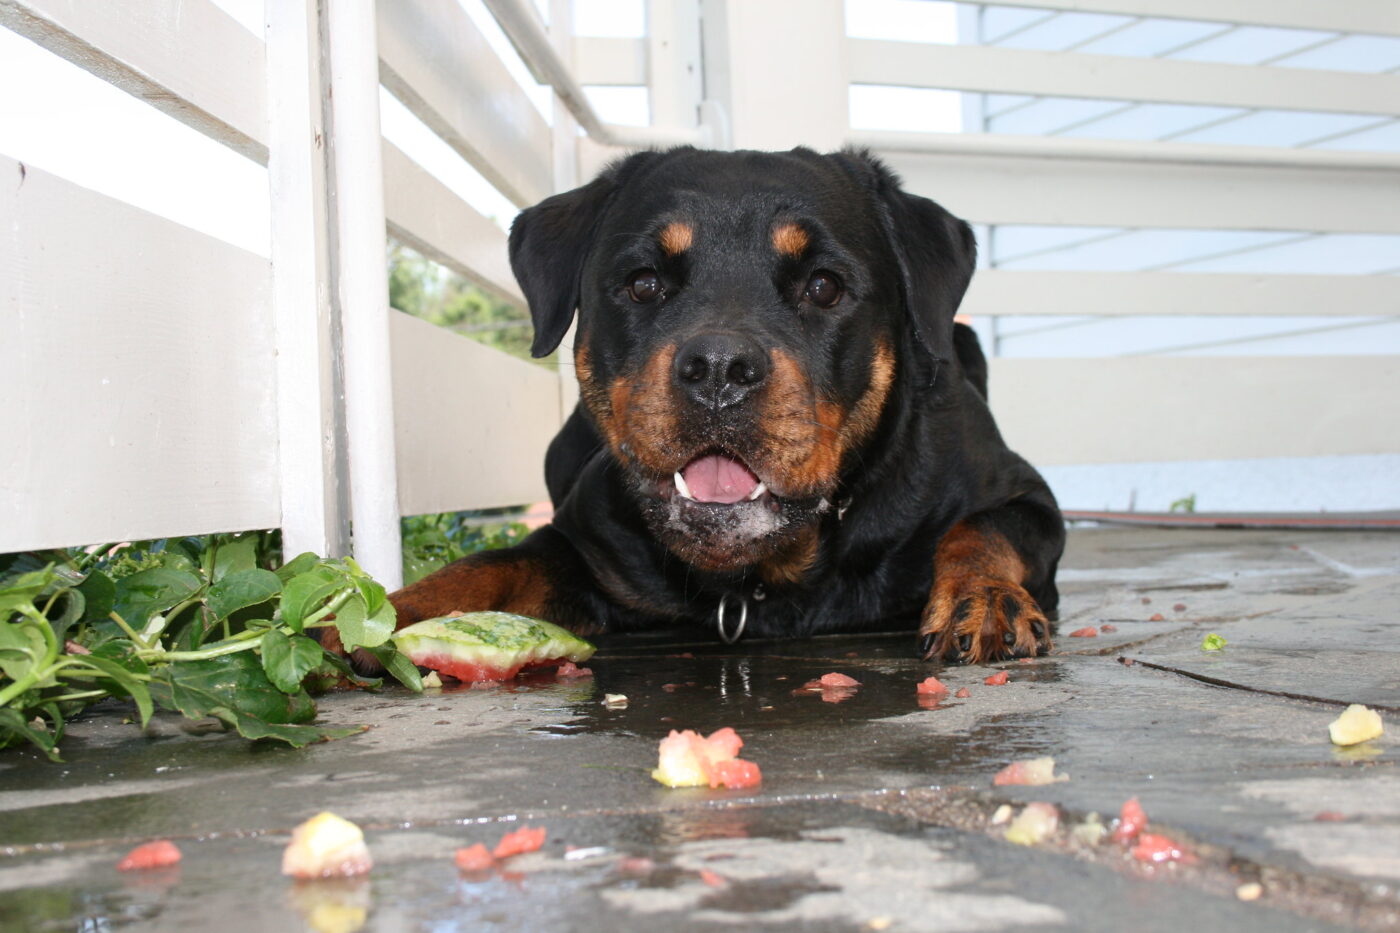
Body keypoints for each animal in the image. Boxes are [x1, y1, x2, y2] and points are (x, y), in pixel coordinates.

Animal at [383, 147, 1058, 661]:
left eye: (824, 286)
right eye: (643, 282)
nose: (718, 368)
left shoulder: (1024, 494)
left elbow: (983, 529)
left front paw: (984, 598)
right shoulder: (581, 539)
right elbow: (492, 564)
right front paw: (391, 612)